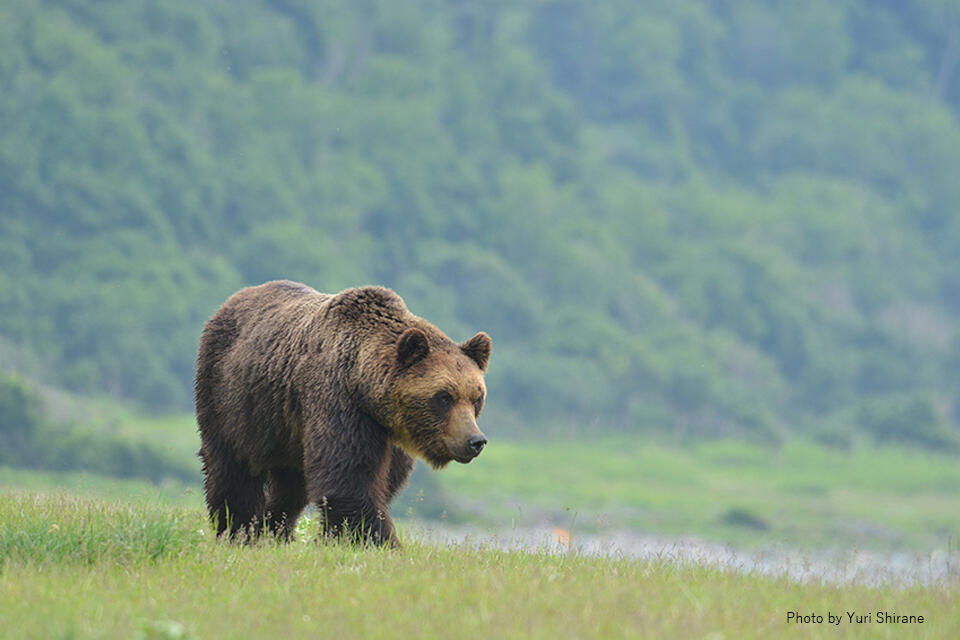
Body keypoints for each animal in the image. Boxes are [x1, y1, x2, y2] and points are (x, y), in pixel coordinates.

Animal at [192, 280, 492, 544]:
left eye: (476, 398)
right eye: (444, 397)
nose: (475, 441)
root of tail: (230, 302)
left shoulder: (388, 435)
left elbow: (383, 482)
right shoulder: (338, 402)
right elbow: (349, 479)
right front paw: (380, 542)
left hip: (287, 428)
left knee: (290, 486)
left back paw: (275, 530)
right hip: (231, 398)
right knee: (232, 467)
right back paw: (238, 530)